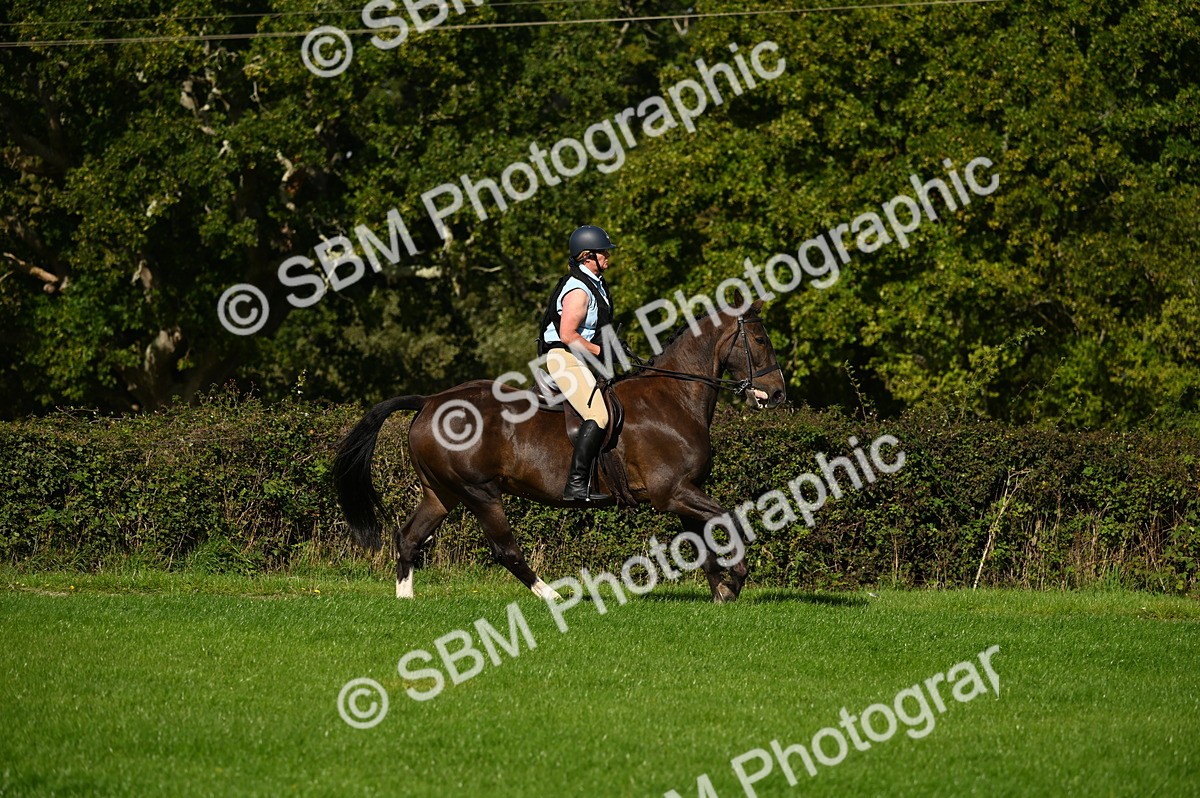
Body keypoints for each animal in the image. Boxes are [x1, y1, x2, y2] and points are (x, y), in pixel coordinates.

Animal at [333, 299, 787, 603]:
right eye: (760, 339)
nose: (779, 394)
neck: (674, 397)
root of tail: (429, 401)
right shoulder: (672, 492)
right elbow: (726, 518)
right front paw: (737, 576)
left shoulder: (684, 492)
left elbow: (705, 536)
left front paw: (721, 589)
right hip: (480, 491)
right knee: (505, 549)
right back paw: (553, 596)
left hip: (441, 492)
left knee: (409, 537)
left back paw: (406, 599)